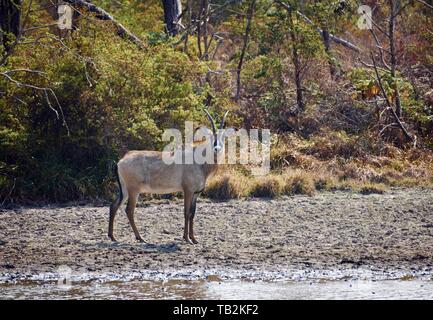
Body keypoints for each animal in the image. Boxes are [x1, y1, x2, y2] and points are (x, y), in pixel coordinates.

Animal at [108, 109, 230, 244]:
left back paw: (113, 237)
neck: (199, 161)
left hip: (124, 191)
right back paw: (140, 238)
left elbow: (192, 214)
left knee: (114, 206)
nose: (217, 148)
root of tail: (122, 160)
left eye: (223, 137)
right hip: (133, 190)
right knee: (129, 210)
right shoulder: (188, 190)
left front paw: (194, 239)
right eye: (211, 137)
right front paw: (187, 239)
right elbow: (186, 213)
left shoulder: (196, 193)